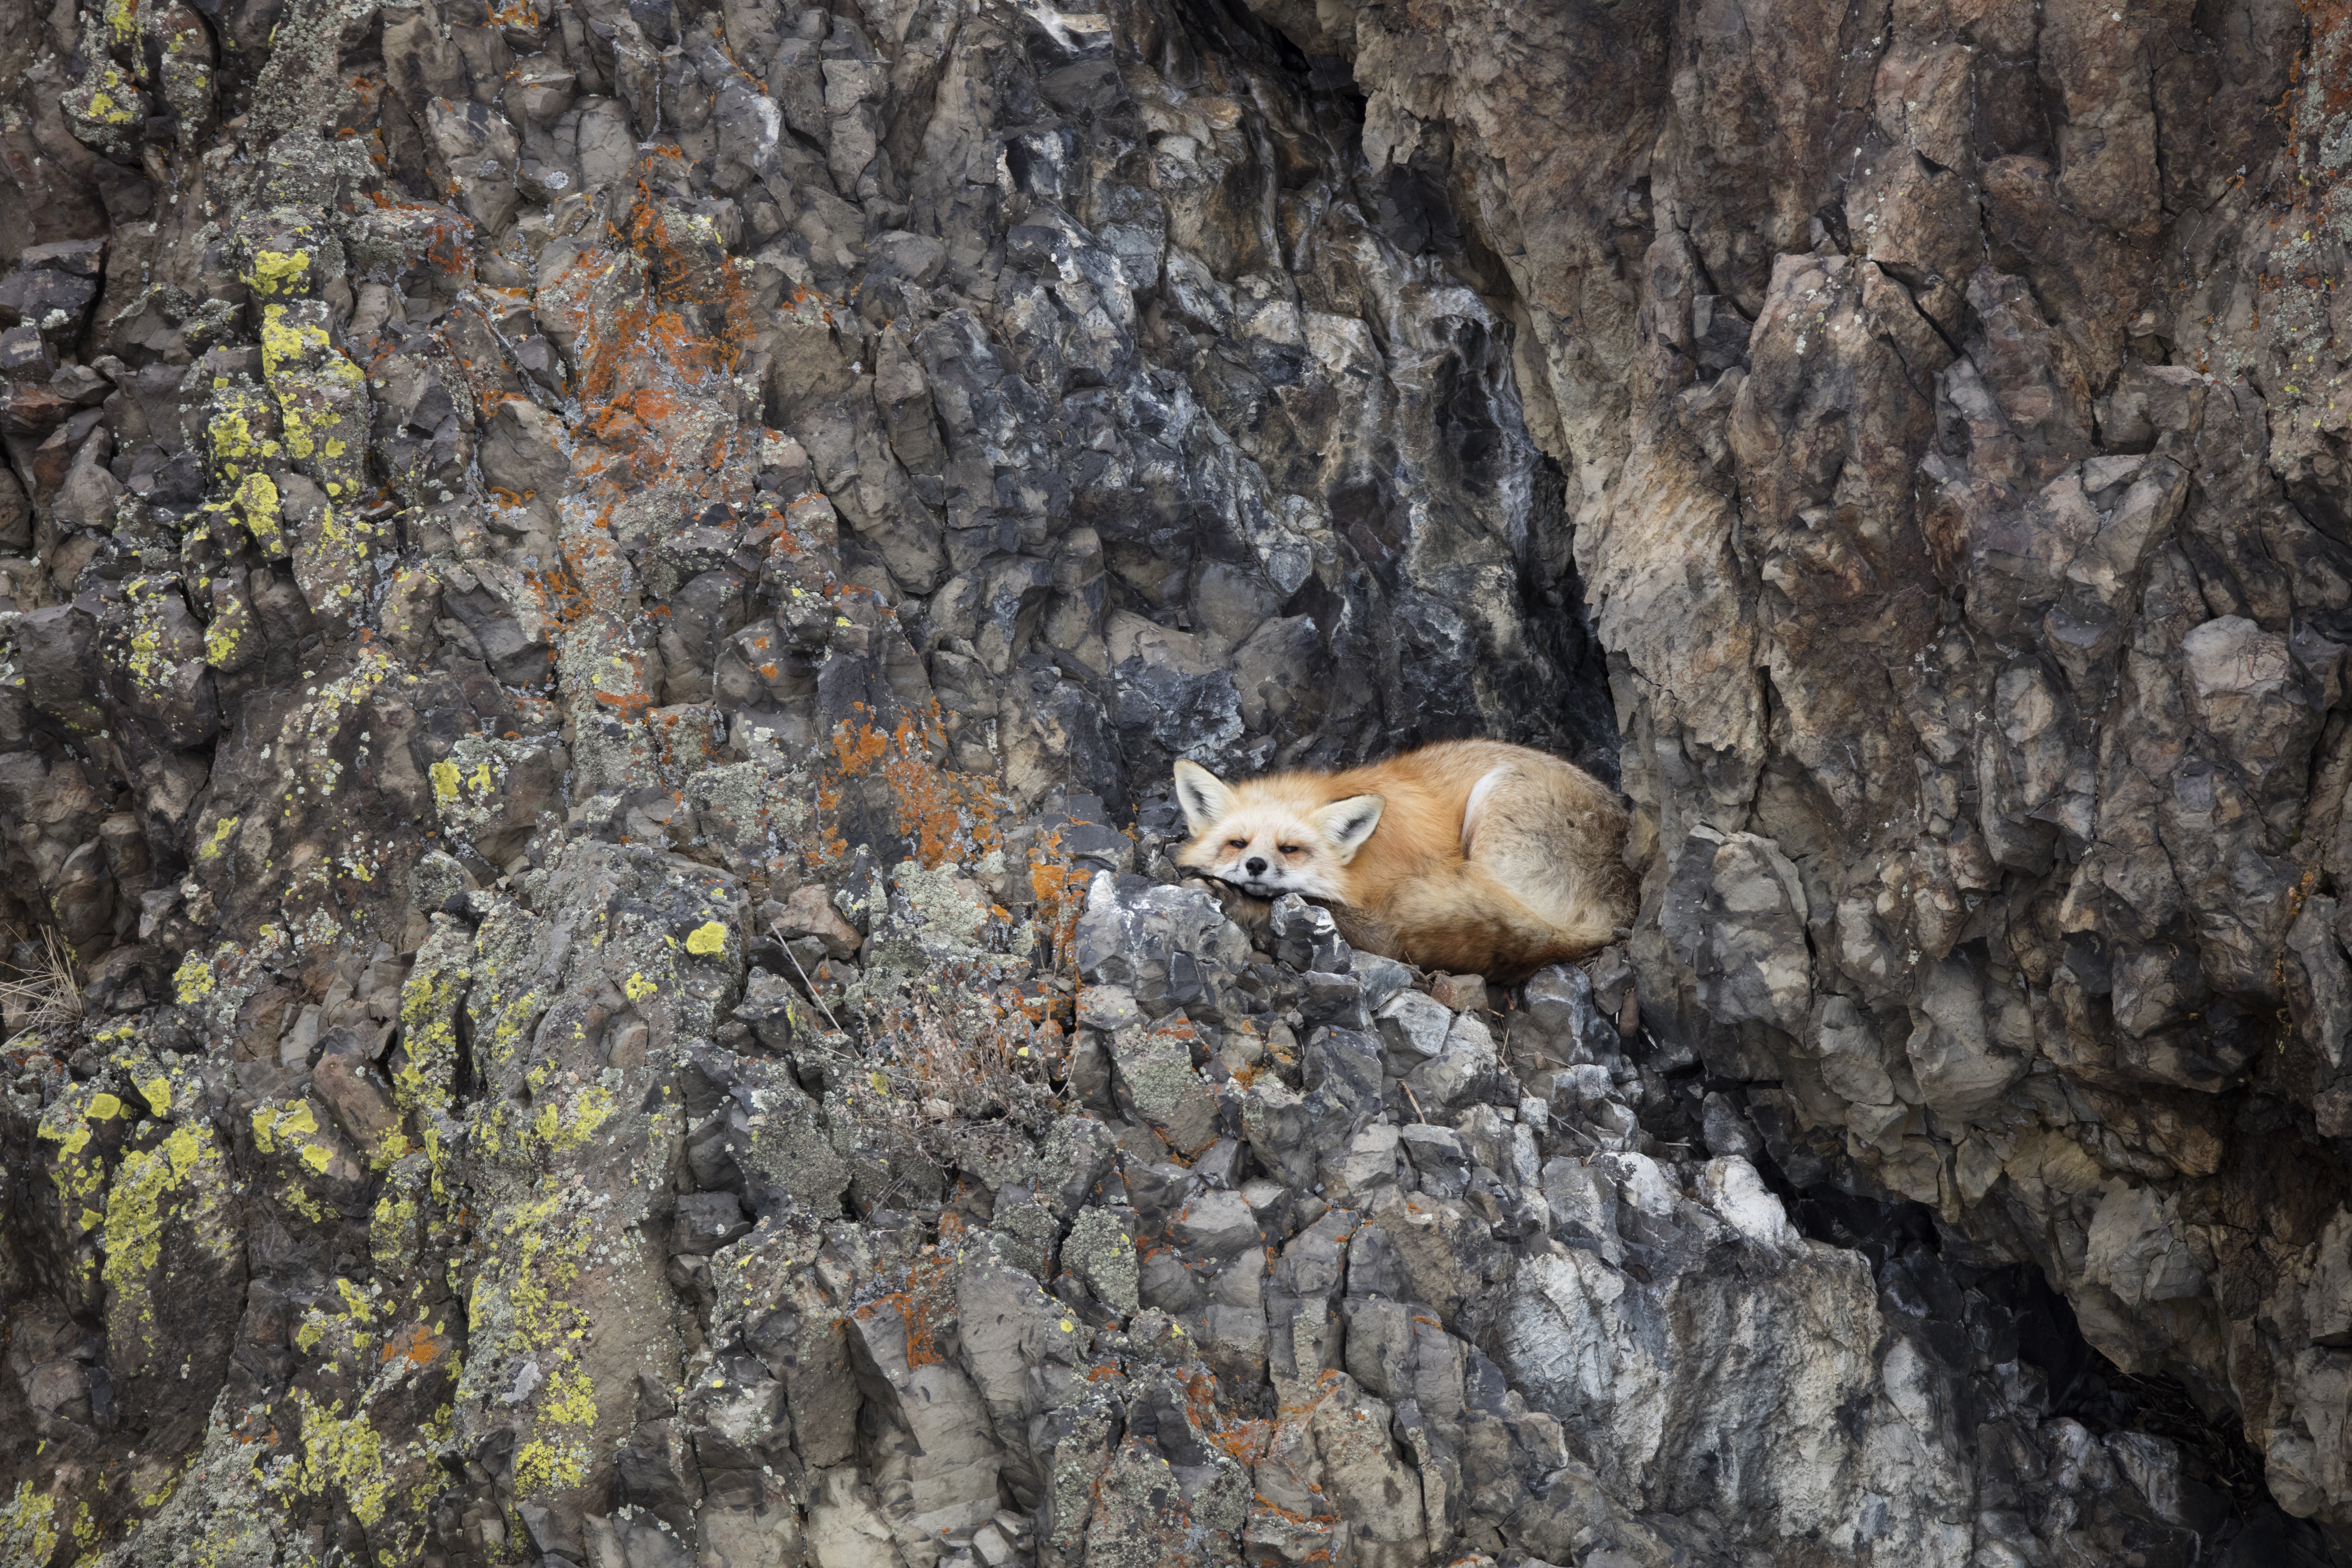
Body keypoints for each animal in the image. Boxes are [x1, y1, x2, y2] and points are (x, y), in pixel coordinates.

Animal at [1171, 738, 1636, 982]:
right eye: (1237, 843)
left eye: (1290, 848)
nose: (1255, 866)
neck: (1363, 862)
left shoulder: (1381, 922)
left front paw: (1239, 903)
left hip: (1494, 802)